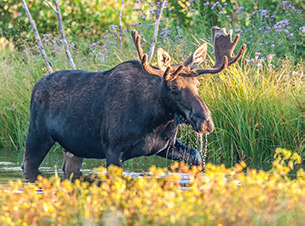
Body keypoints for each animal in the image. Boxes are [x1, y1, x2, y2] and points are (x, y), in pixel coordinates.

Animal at [22, 27, 245, 181]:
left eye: (198, 85)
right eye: (173, 87)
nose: (206, 121)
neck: (155, 119)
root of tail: (35, 86)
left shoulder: (164, 146)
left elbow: (197, 156)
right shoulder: (113, 149)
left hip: (74, 147)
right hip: (37, 135)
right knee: (28, 166)